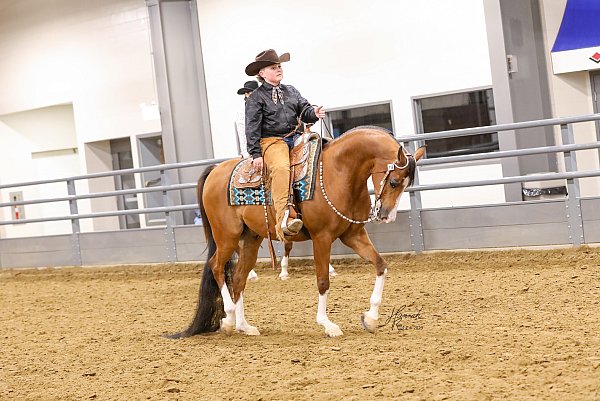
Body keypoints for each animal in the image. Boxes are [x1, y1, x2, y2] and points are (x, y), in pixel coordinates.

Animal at [169, 126, 426, 338]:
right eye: (394, 182)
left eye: (407, 185)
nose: (387, 215)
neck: (338, 172)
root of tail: (215, 170)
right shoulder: (322, 238)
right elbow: (322, 280)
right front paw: (327, 324)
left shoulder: (353, 236)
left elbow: (381, 265)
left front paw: (370, 319)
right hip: (227, 236)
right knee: (216, 266)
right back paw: (229, 319)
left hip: (251, 239)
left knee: (240, 277)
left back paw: (244, 326)